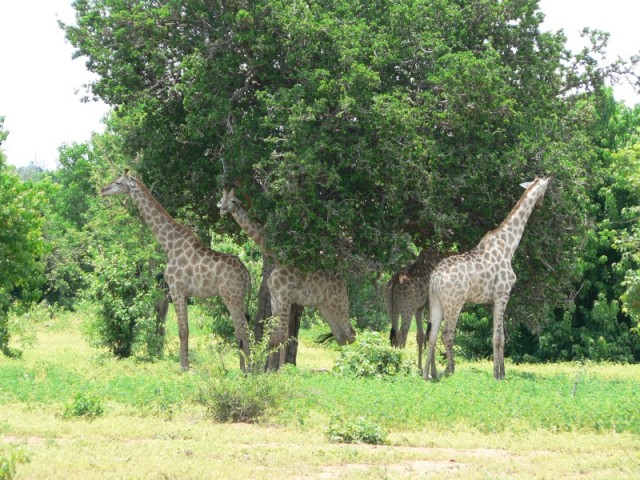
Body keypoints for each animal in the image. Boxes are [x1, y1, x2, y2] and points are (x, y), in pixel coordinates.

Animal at [100, 172, 252, 372]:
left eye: (118, 182)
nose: (102, 189)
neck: (169, 244)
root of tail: (247, 273)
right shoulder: (184, 293)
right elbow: (185, 328)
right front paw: (186, 365)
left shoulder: (176, 289)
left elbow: (182, 330)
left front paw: (184, 367)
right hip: (237, 297)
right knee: (241, 329)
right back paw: (247, 368)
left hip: (232, 296)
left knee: (243, 329)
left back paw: (248, 370)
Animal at [216, 189, 356, 370]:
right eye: (222, 198)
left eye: (234, 200)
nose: (222, 209)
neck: (277, 256)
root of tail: (343, 284)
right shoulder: (275, 298)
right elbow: (275, 336)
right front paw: (270, 370)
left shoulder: (284, 296)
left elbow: (281, 336)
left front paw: (279, 370)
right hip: (325, 307)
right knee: (341, 336)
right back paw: (338, 368)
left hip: (338, 303)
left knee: (351, 334)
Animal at [422, 177, 552, 382]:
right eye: (546, 190)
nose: (541, 203)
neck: (509, 246)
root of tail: (435, 278)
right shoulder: (502, 295)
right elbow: (497, 338)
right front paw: (497, 375)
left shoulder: (491, 301)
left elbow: (501, 337)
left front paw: (502, 373)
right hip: (455, 302)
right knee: (447, 334)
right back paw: (450, 371)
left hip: (435, 301)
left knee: (432, 335)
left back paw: (429, 374)